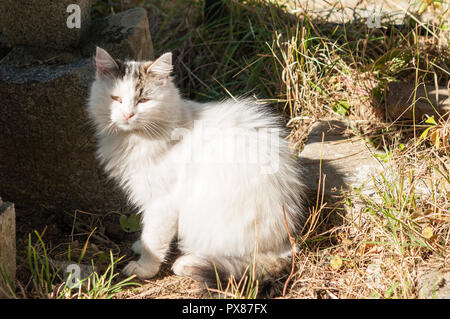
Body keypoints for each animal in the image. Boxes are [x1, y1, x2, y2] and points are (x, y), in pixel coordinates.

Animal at [88, 47, 306, 288]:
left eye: (143, 100)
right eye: (115, 98)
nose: (128, 115)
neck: (133, 140)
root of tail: (283, 244)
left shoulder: (162, 203)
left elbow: (153, 239)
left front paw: (144, 267)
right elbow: (146, 234)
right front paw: (138, 245)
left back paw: (185, 263)